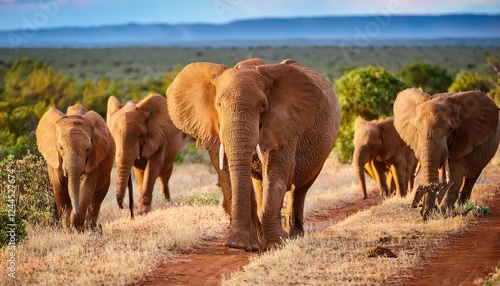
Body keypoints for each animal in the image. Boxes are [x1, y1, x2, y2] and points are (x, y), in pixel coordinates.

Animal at [166, 58, 342, 250]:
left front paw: (275, 243)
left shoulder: (285, 122)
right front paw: (245, 245)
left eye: (263, 106)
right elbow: (228, 175)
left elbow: (275, 173)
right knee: (261, 183)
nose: (234, 244)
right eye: (218, 105)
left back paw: (293, 236)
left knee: (300, 187)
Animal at [394, 88, 500, 218]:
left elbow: (455, 179)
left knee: (471, 177)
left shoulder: (463, 140)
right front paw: (431, 212)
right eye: (417, 130)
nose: (417, 207)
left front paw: (441, 213)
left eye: (449, 130)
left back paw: (463, 208)